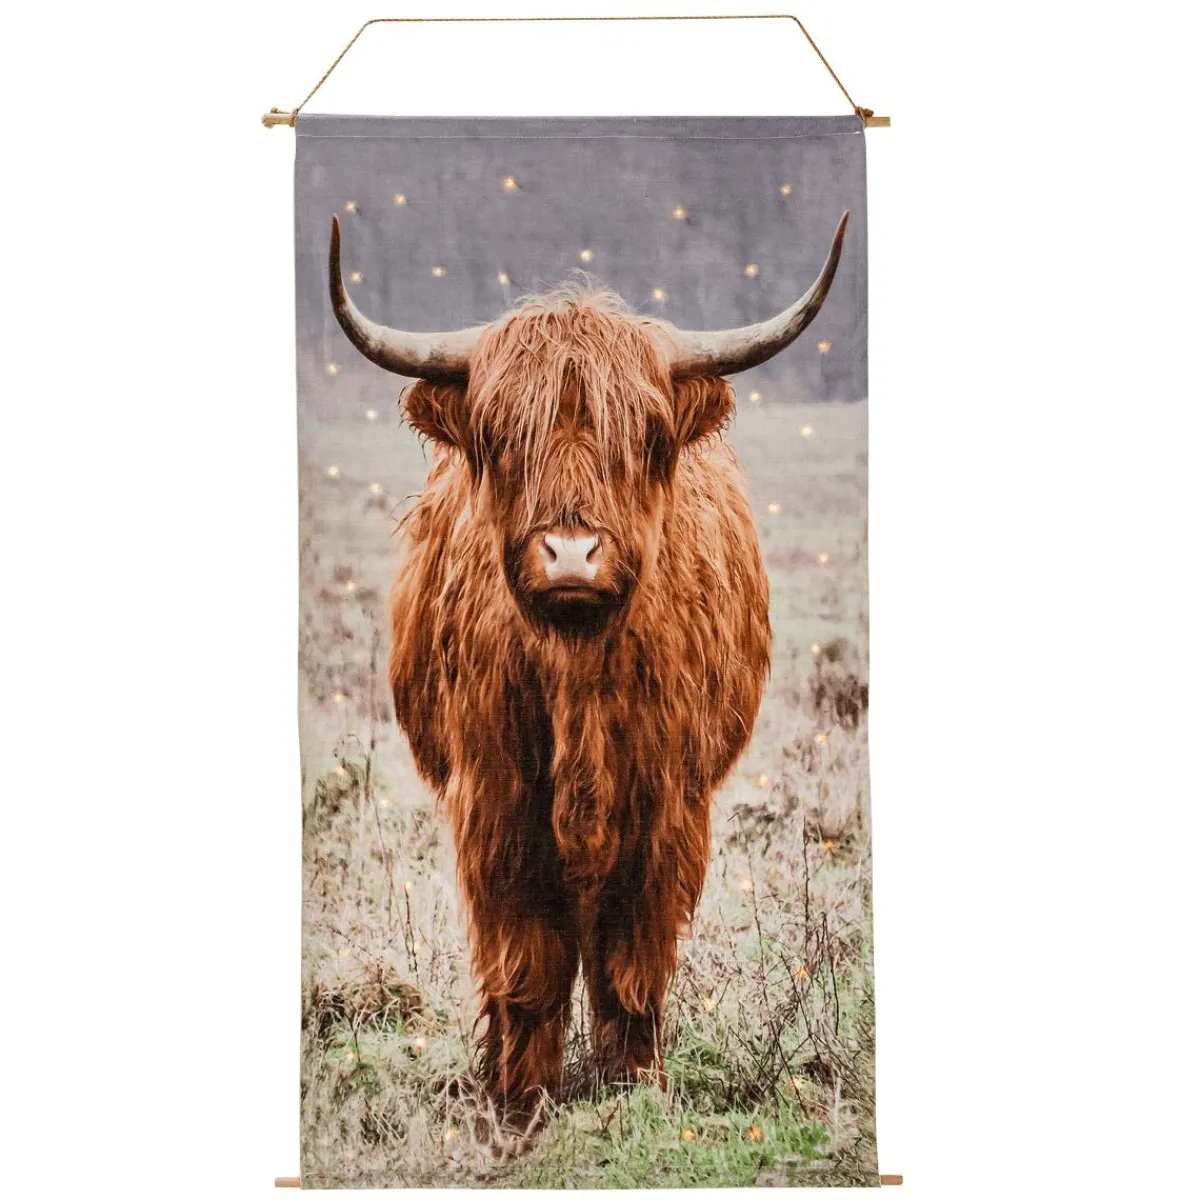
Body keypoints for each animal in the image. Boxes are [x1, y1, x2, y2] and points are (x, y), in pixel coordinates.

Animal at [328, 211, 849, 1118]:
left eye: (644, 435)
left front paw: (633, 1086)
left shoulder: (669, 806)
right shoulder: (495, 802)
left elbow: (630, 960)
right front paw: (520, 1097)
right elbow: (528, 963)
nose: (571, 554)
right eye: (503, 435)